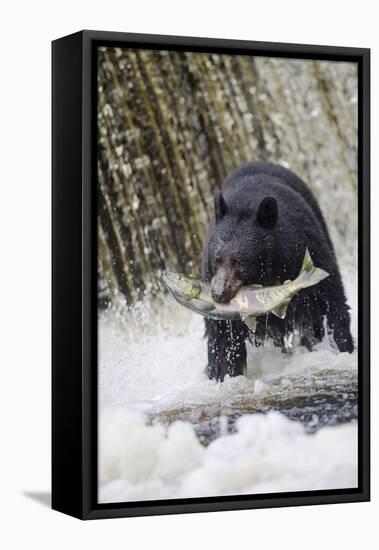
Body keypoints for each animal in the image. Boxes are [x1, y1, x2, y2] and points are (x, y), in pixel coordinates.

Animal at [203, 162, 354, 382]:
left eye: (239, 262)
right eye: (217, 259)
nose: (218, 294)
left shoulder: (306, 248)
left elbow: (330, 299)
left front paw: (343, 347)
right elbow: (222, 334)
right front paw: (223, 373)